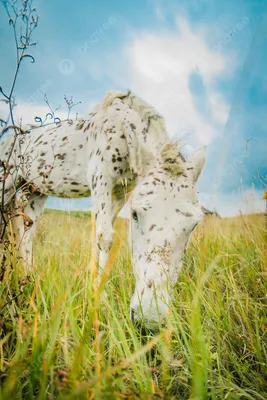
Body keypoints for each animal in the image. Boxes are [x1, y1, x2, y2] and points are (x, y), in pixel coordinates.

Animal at [0, 91, 206, 328]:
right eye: (135, 214)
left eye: (194, 225)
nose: (150, 316)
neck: (122, 129)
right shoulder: (101, 177)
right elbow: (104, 237)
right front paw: (100, 299)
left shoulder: (122, 191)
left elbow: (98, 237)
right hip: (7, 184)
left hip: (36, 191)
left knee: (27, 232)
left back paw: (29, 278)